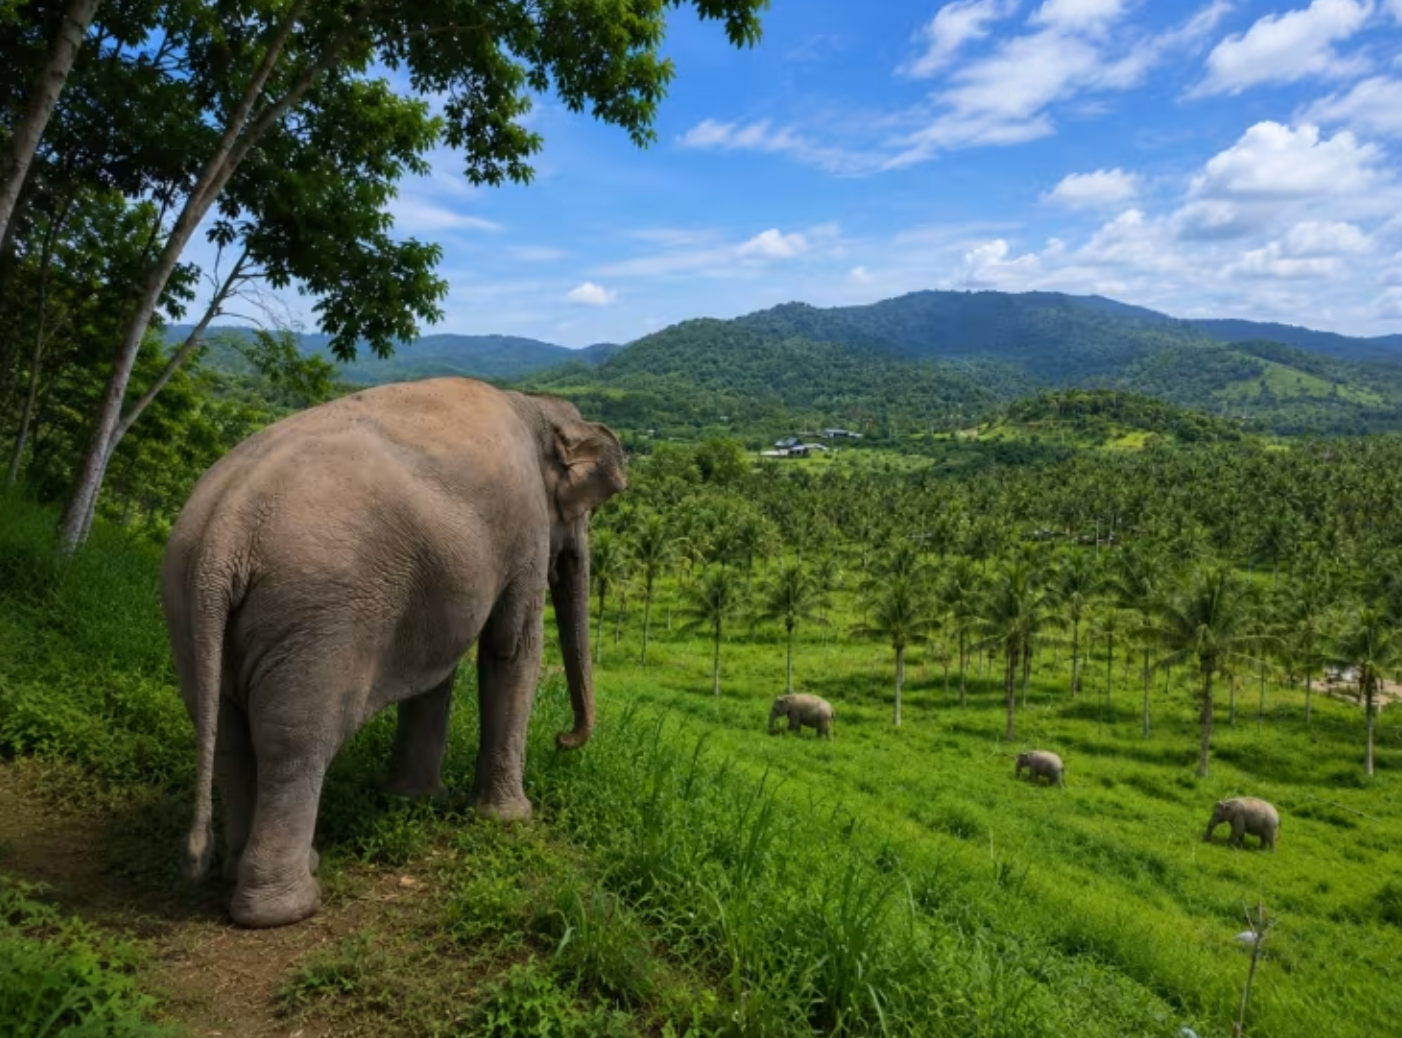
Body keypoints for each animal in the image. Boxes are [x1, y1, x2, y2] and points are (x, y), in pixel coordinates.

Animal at [160, 378, 627, 929]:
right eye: (586, 510)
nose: (564, 739)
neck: (531, 402)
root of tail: (224, 533)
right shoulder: (524, 528)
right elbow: (511, 647)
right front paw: (510, 819)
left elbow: (437, 671)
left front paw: (417, 799)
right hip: (315, 620)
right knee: (294, 742)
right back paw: (288, 906)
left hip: (188, 611)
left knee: (227, 734)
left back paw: (243, 870)